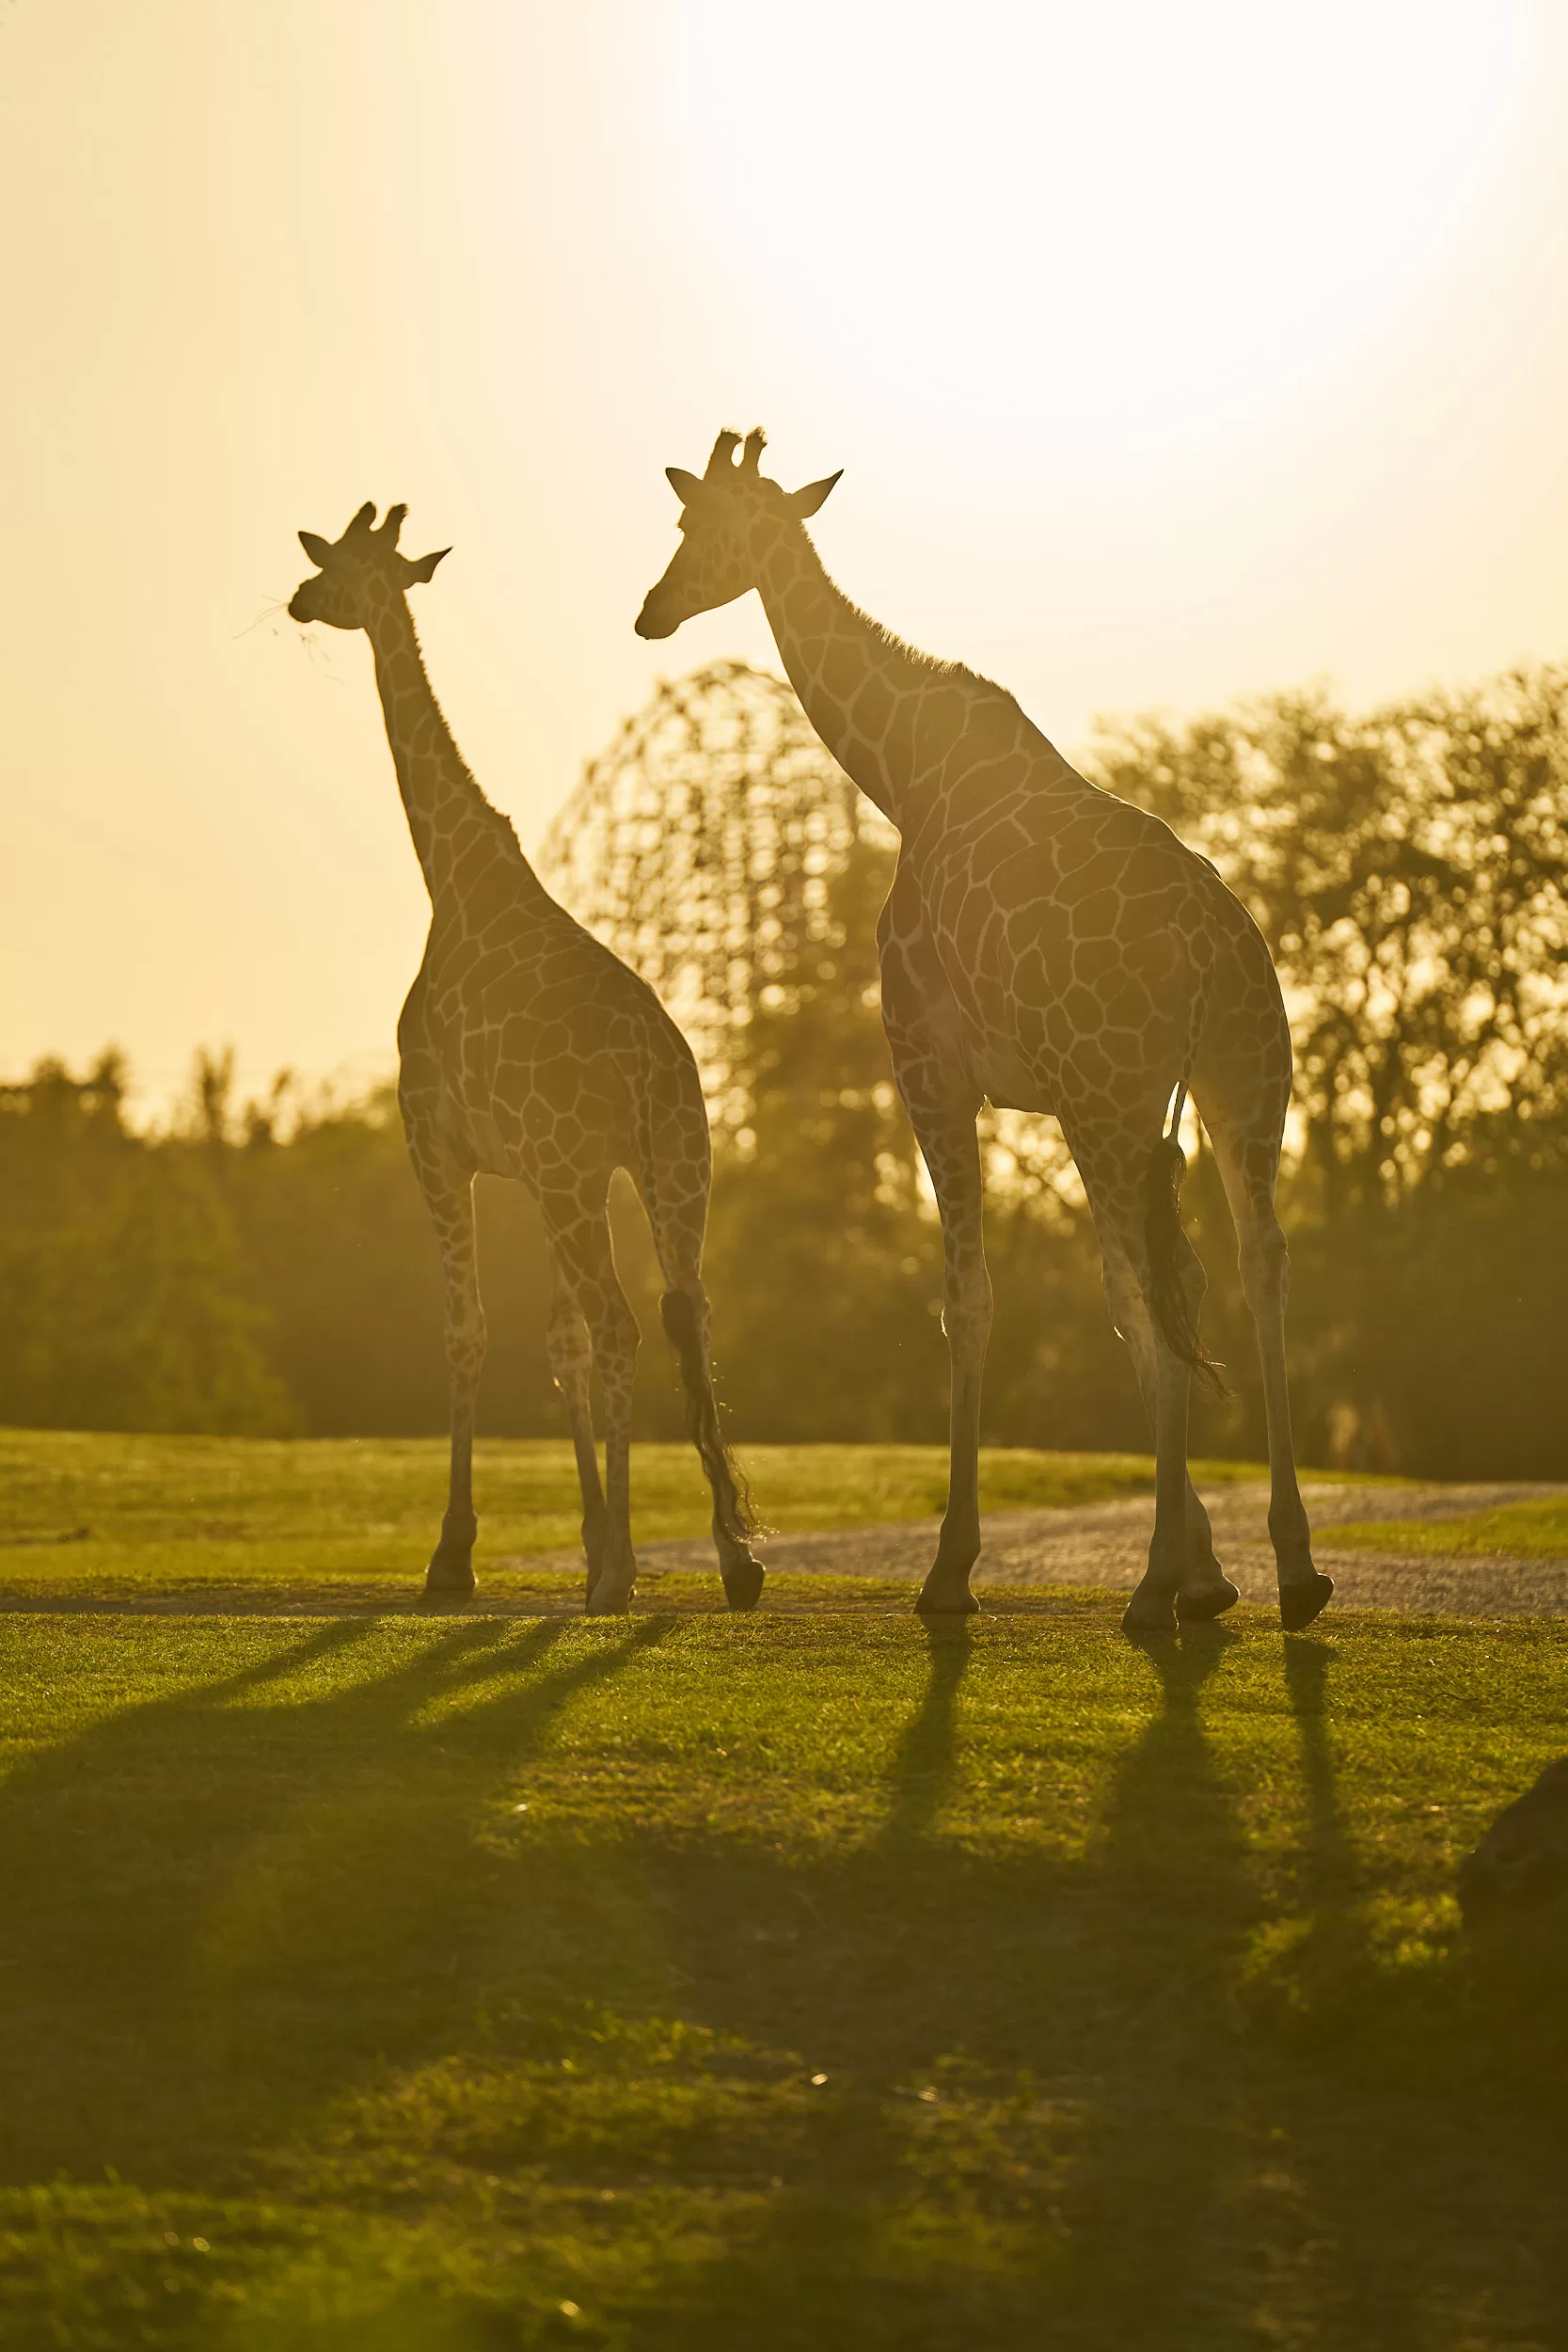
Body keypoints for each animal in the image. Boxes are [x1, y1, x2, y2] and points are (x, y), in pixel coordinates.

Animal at [293, 501, 766, 1618]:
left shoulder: (437, 1143)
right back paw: (733, 1559)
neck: (449, 875)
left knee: (626, 1325)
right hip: (673, 1164)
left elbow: (468, 1332)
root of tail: (652, 1064)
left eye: (335, 567)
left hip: (578, 1173)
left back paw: (628, 1576)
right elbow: (559, 1346)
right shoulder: (539, 1173)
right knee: (687, 1317)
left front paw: (454, 1557)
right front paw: (589, 1539)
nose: (295, 599)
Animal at [629, 428, 1335, 1637]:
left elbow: (972, 1299)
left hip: (1118, 1093)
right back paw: (1288, 1567)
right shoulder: (1051, 1097)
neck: (897, 772)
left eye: (699, 529)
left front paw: (953, 1568)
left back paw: (1151, 1586)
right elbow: (1118, 1303)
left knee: (1171, 1285)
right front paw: (1211, 1568)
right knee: (1255, 1263)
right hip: (1241, 1082)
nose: (651, 609)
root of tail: (1210, 954)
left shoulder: (930, 1067)